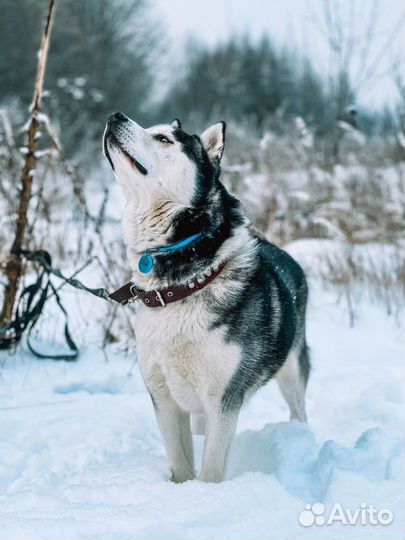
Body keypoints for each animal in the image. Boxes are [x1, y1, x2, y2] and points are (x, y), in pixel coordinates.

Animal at [102, 112, 310, 484]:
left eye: (165, 140)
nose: (115, 115)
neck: (182, 285)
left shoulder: (224, 399)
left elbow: (212, 469)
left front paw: (206, 493)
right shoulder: (163, 397)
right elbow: (181, 462)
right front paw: (183, 488)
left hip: (292, 369)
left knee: (299, 406)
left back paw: (299, 438)